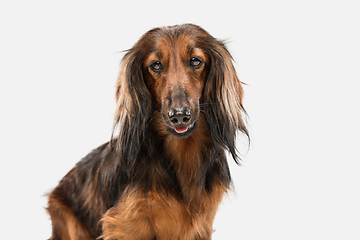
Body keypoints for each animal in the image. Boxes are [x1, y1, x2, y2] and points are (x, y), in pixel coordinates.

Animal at [47, 23, 249, 240]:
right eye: (156, 65)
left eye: (195, 61)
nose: (179, 115)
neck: (182, 155)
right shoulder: (124, 225)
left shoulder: (202, 225)